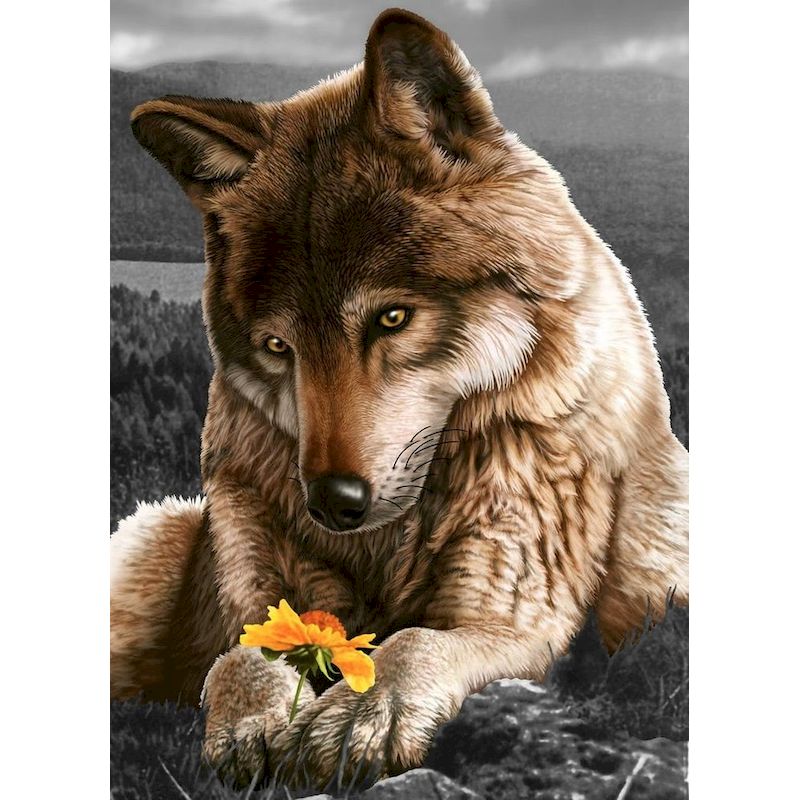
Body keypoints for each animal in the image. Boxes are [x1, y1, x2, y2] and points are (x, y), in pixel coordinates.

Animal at [111, 7, 688, 788]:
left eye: (391, 318)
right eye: (278, 347)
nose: (332, 503)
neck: (389, 545)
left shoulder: (515, 618)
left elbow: (412, 641)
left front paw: (363, 713)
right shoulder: (259, 590)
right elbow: (242, 653)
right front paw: (253, 722)